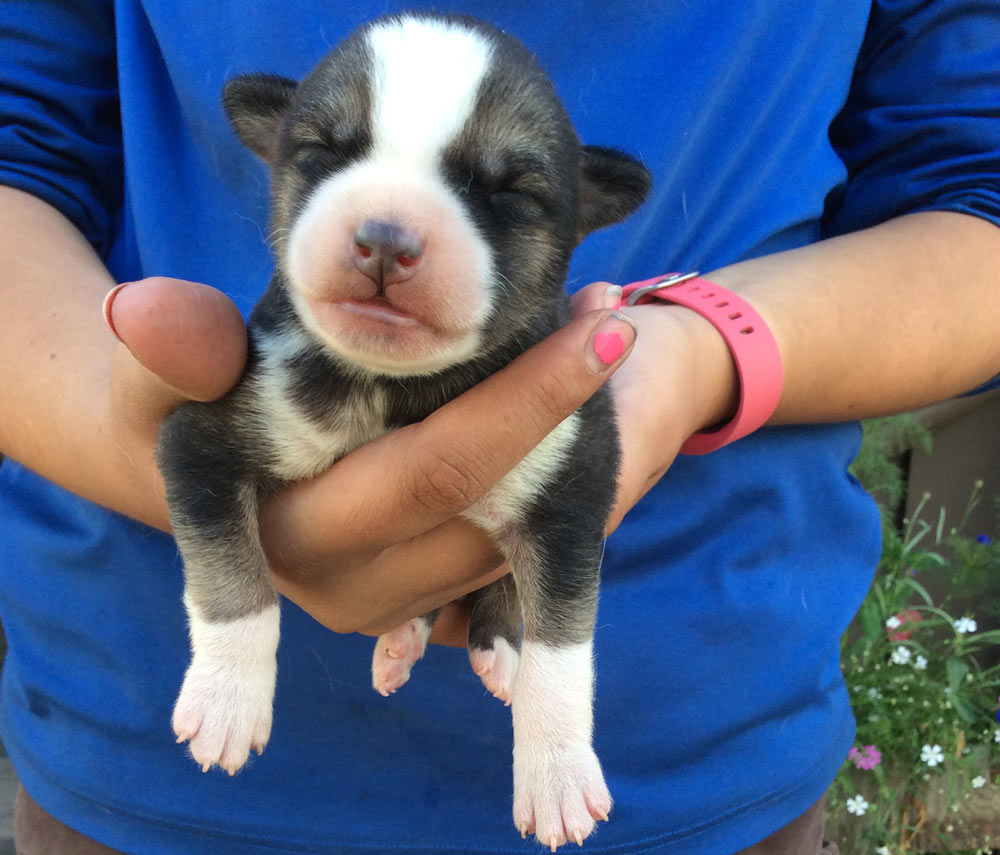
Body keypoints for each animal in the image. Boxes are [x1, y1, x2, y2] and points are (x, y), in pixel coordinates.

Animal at [158, 11, 648, 848]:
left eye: (507, 192)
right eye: (323, 151)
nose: (385, 238)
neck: (397, 388)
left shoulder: (575, 482)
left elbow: (563, 644)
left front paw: (556, 767)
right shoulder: (203, 438)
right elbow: (231, 577)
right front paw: (226, 697)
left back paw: (496, 647)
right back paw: (401, 641)